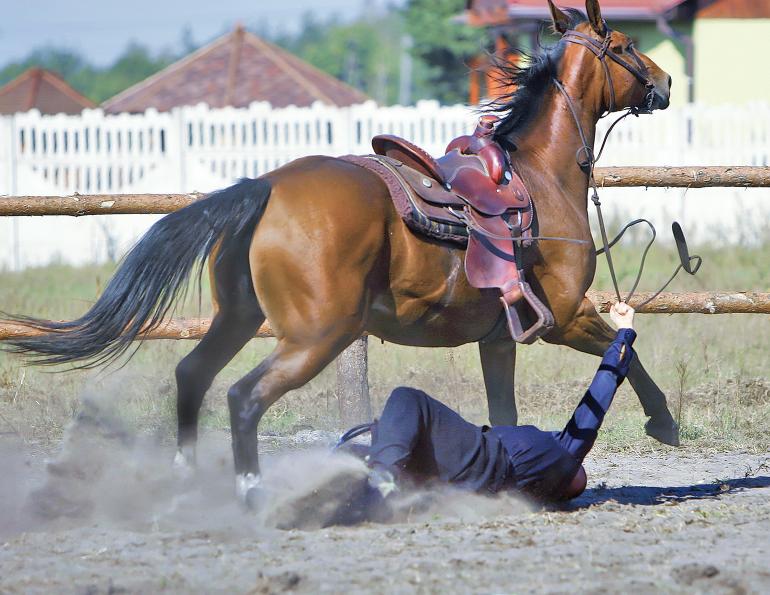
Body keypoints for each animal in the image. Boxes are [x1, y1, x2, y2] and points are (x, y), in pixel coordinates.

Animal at [3, 0, 678, 504]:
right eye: (623, 44)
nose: (667, 81)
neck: (535, 175)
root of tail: (265, 186)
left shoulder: (498, 340)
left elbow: (504, 406)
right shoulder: (564, 315)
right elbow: (628, 352)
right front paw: (663, 421)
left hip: (240, 318)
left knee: (193, 375)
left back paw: (188, 482)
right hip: (316, 335)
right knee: (243, 397)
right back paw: (250, 492)